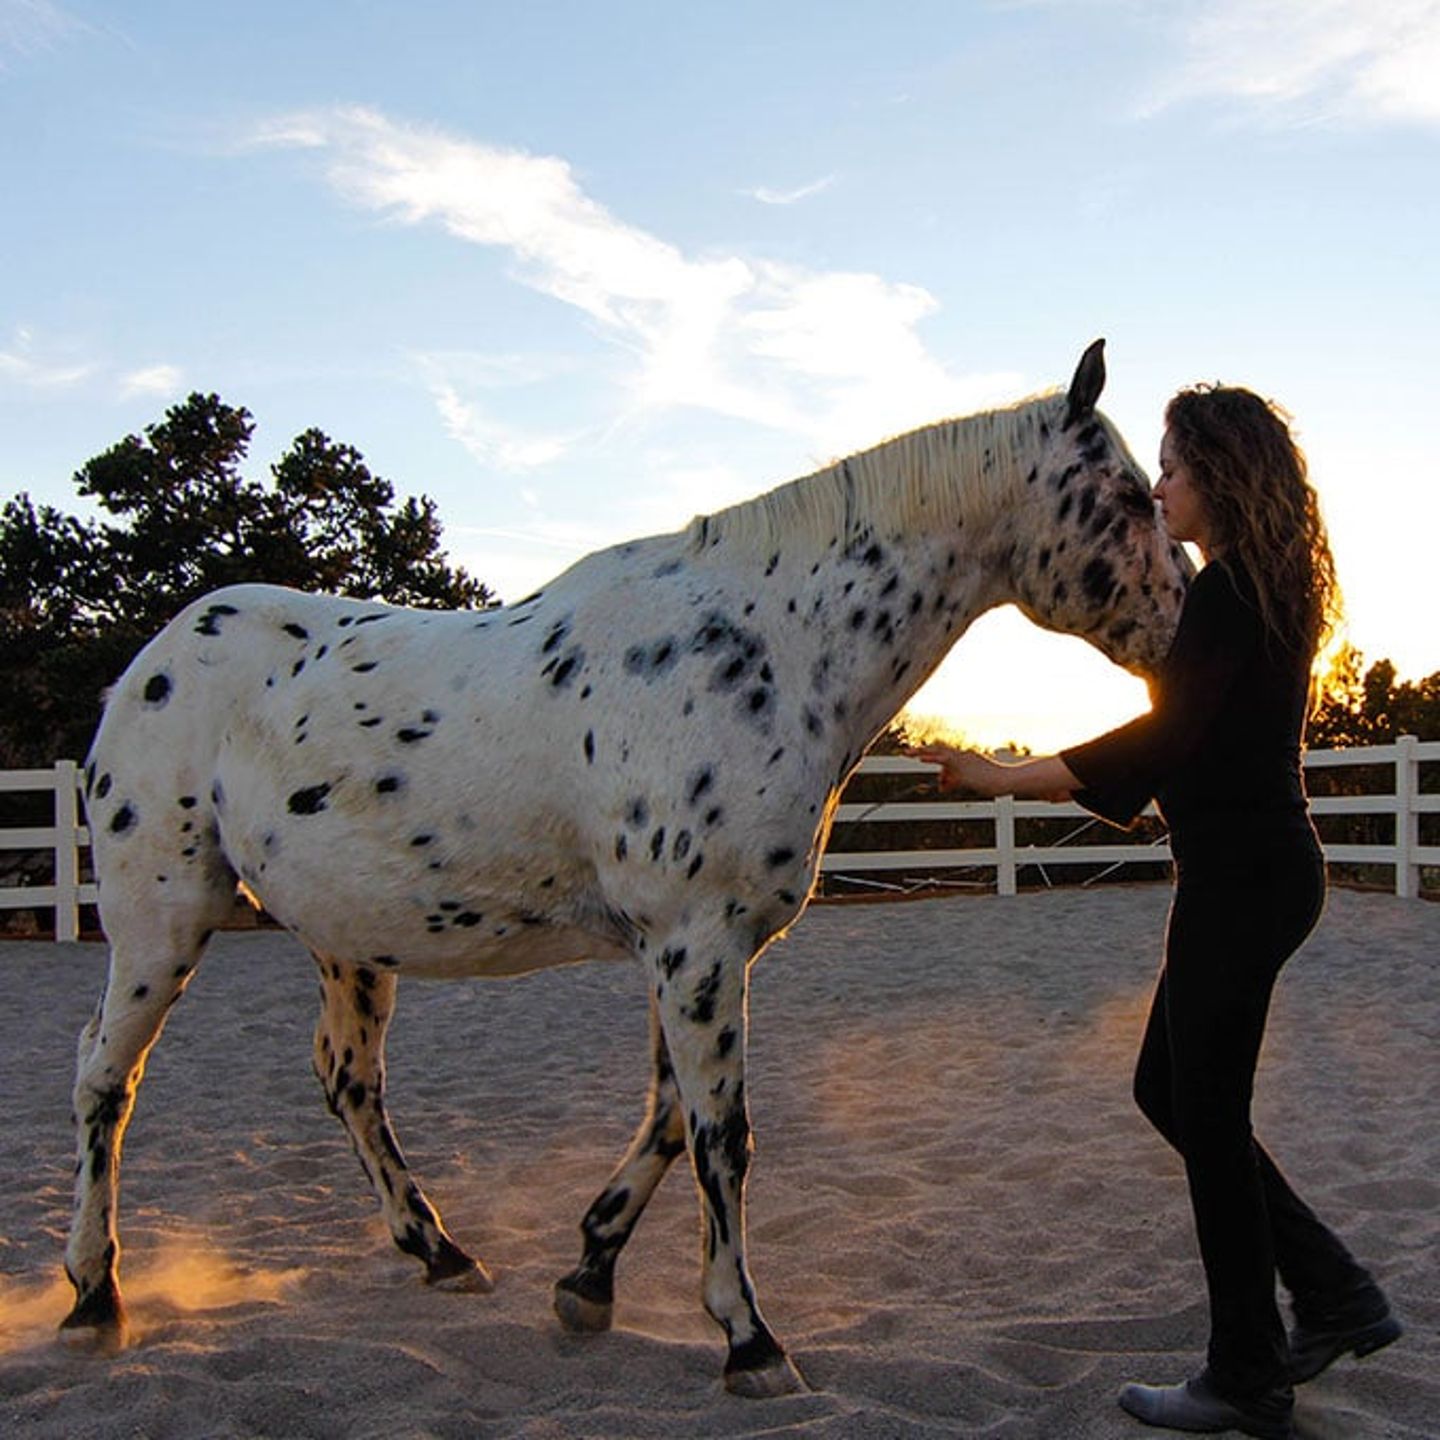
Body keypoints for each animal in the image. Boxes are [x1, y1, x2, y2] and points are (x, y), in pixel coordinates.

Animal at [62, 340, 1190, 1396]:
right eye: (1130, 497)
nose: (1188, 628)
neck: (766, 650)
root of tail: (151, 661)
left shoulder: (689, 951)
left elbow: (669, 1119)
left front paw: (590, 1274)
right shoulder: (696, 943)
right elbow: (722, 1134)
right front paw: (749, 1339)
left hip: (348, 943)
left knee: (348, 1082)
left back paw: (440, 1252)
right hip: (162, 923)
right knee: (105, 1079)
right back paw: (93, 1295)